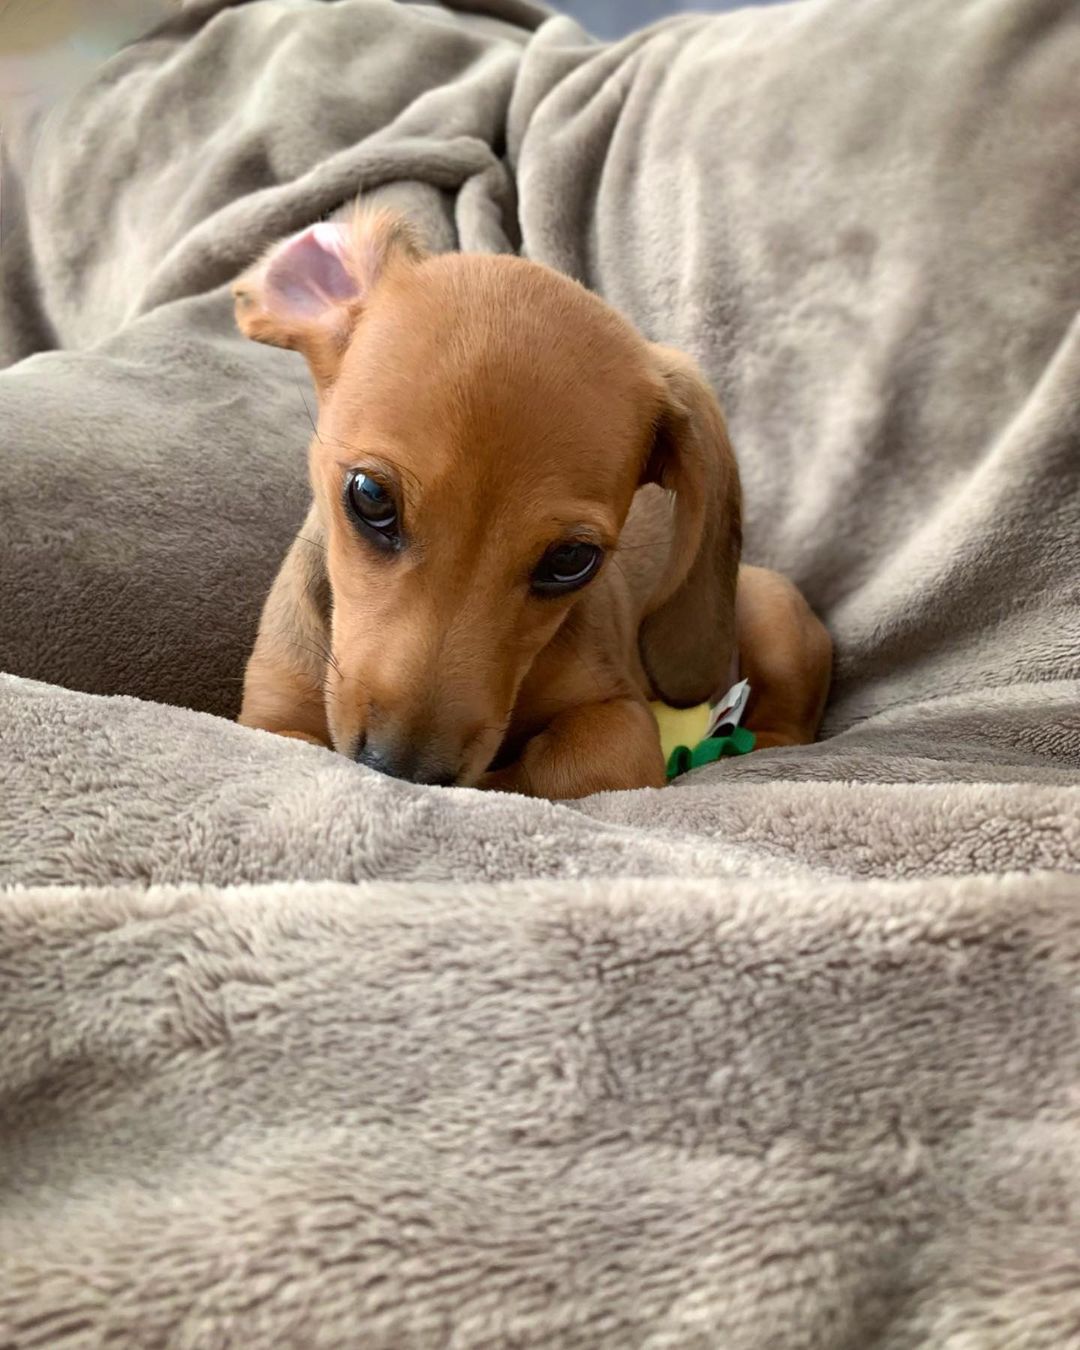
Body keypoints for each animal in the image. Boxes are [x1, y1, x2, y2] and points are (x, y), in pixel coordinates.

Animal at [232, 206, 831, 793]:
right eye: (372, 497)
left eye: (571, 559)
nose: (402, 771)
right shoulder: (270, 722)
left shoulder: (621, 720)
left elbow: (556, 766)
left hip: (774, 608)